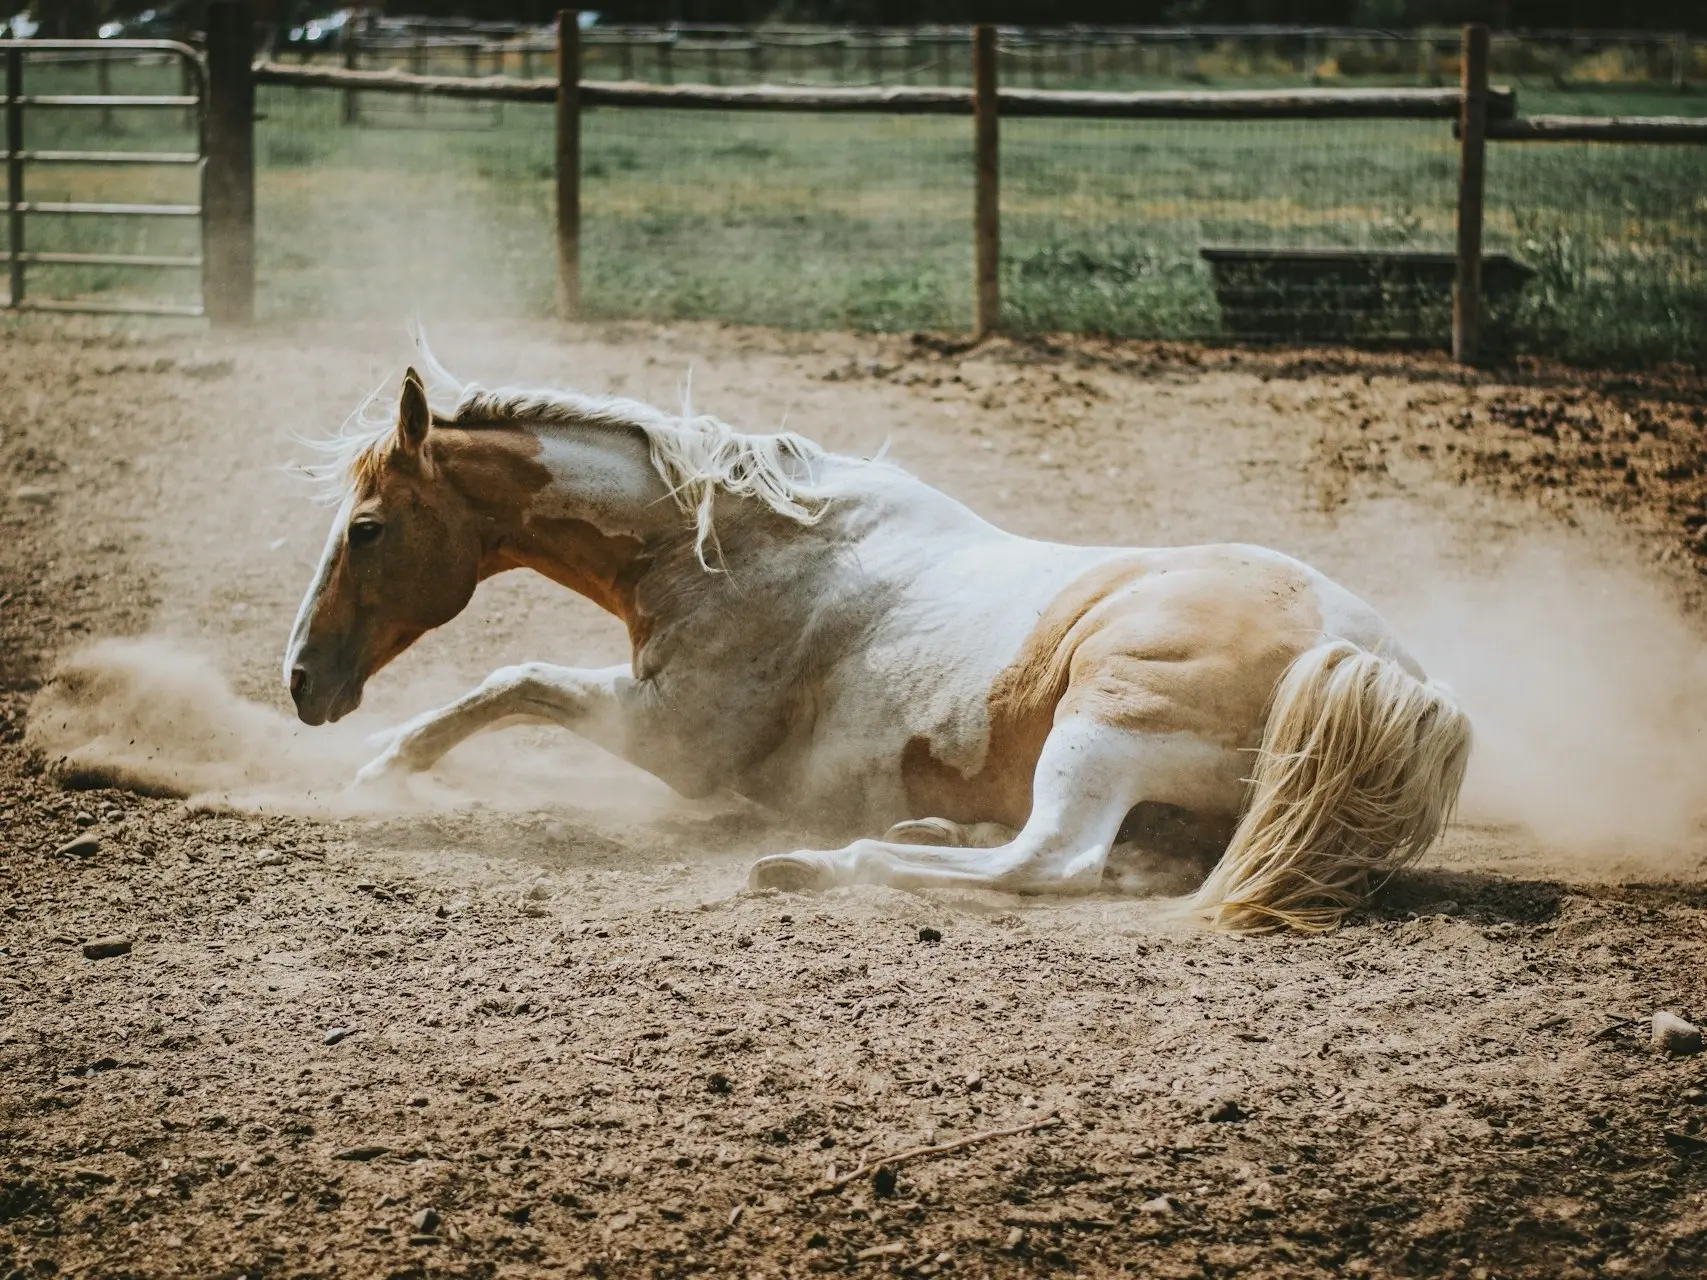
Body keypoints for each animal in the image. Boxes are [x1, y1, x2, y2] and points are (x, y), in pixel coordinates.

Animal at [286, 346, 1474, 935]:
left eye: (366, 526)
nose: (301, 682)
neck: (730, 545)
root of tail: (1370, 664)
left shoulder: (669, 739)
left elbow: (511, 677)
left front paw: (381, 772)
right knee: (1111, 859)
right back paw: (924, 827)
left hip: (1101, 727)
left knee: (1055, 858)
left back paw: (817, 863)